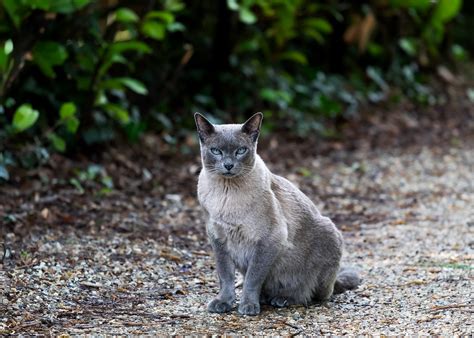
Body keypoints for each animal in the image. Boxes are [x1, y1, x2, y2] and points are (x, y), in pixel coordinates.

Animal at [194, 112, 362, 316]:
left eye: (241, 151)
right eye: (216, 151)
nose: (228, 165)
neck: (227, 195)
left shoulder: (269, 239)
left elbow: (253, 278)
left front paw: (248, 306)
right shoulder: (218, 239)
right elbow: (225, 277)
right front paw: (223, 303)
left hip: (329, 233)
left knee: (310, 294)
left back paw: (281, 299)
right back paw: (266, 298)